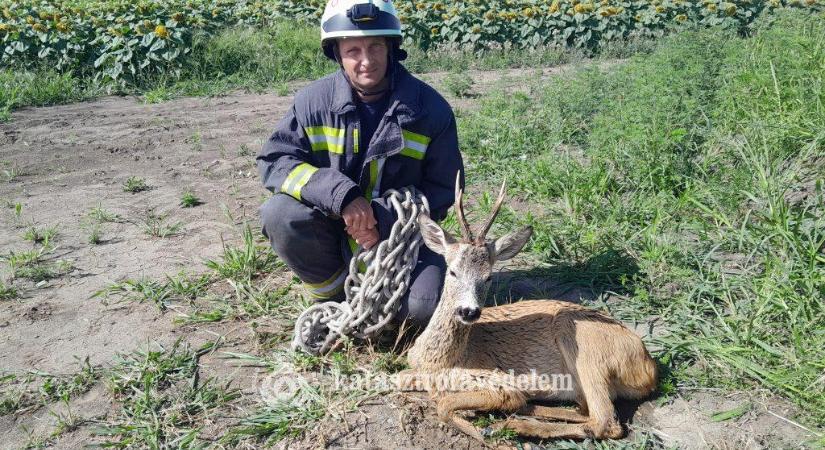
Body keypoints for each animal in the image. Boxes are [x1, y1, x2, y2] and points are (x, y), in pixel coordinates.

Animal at [400, 178, 656, 442]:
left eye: (488, 277)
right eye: (452, 271)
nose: (469, 311)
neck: (440, 360)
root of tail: (649, 368)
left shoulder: (497, 380)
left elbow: (446, 404)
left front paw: (482, 429)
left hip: (587, 348)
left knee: (605, 421)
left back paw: (513, 426)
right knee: (584, 409)